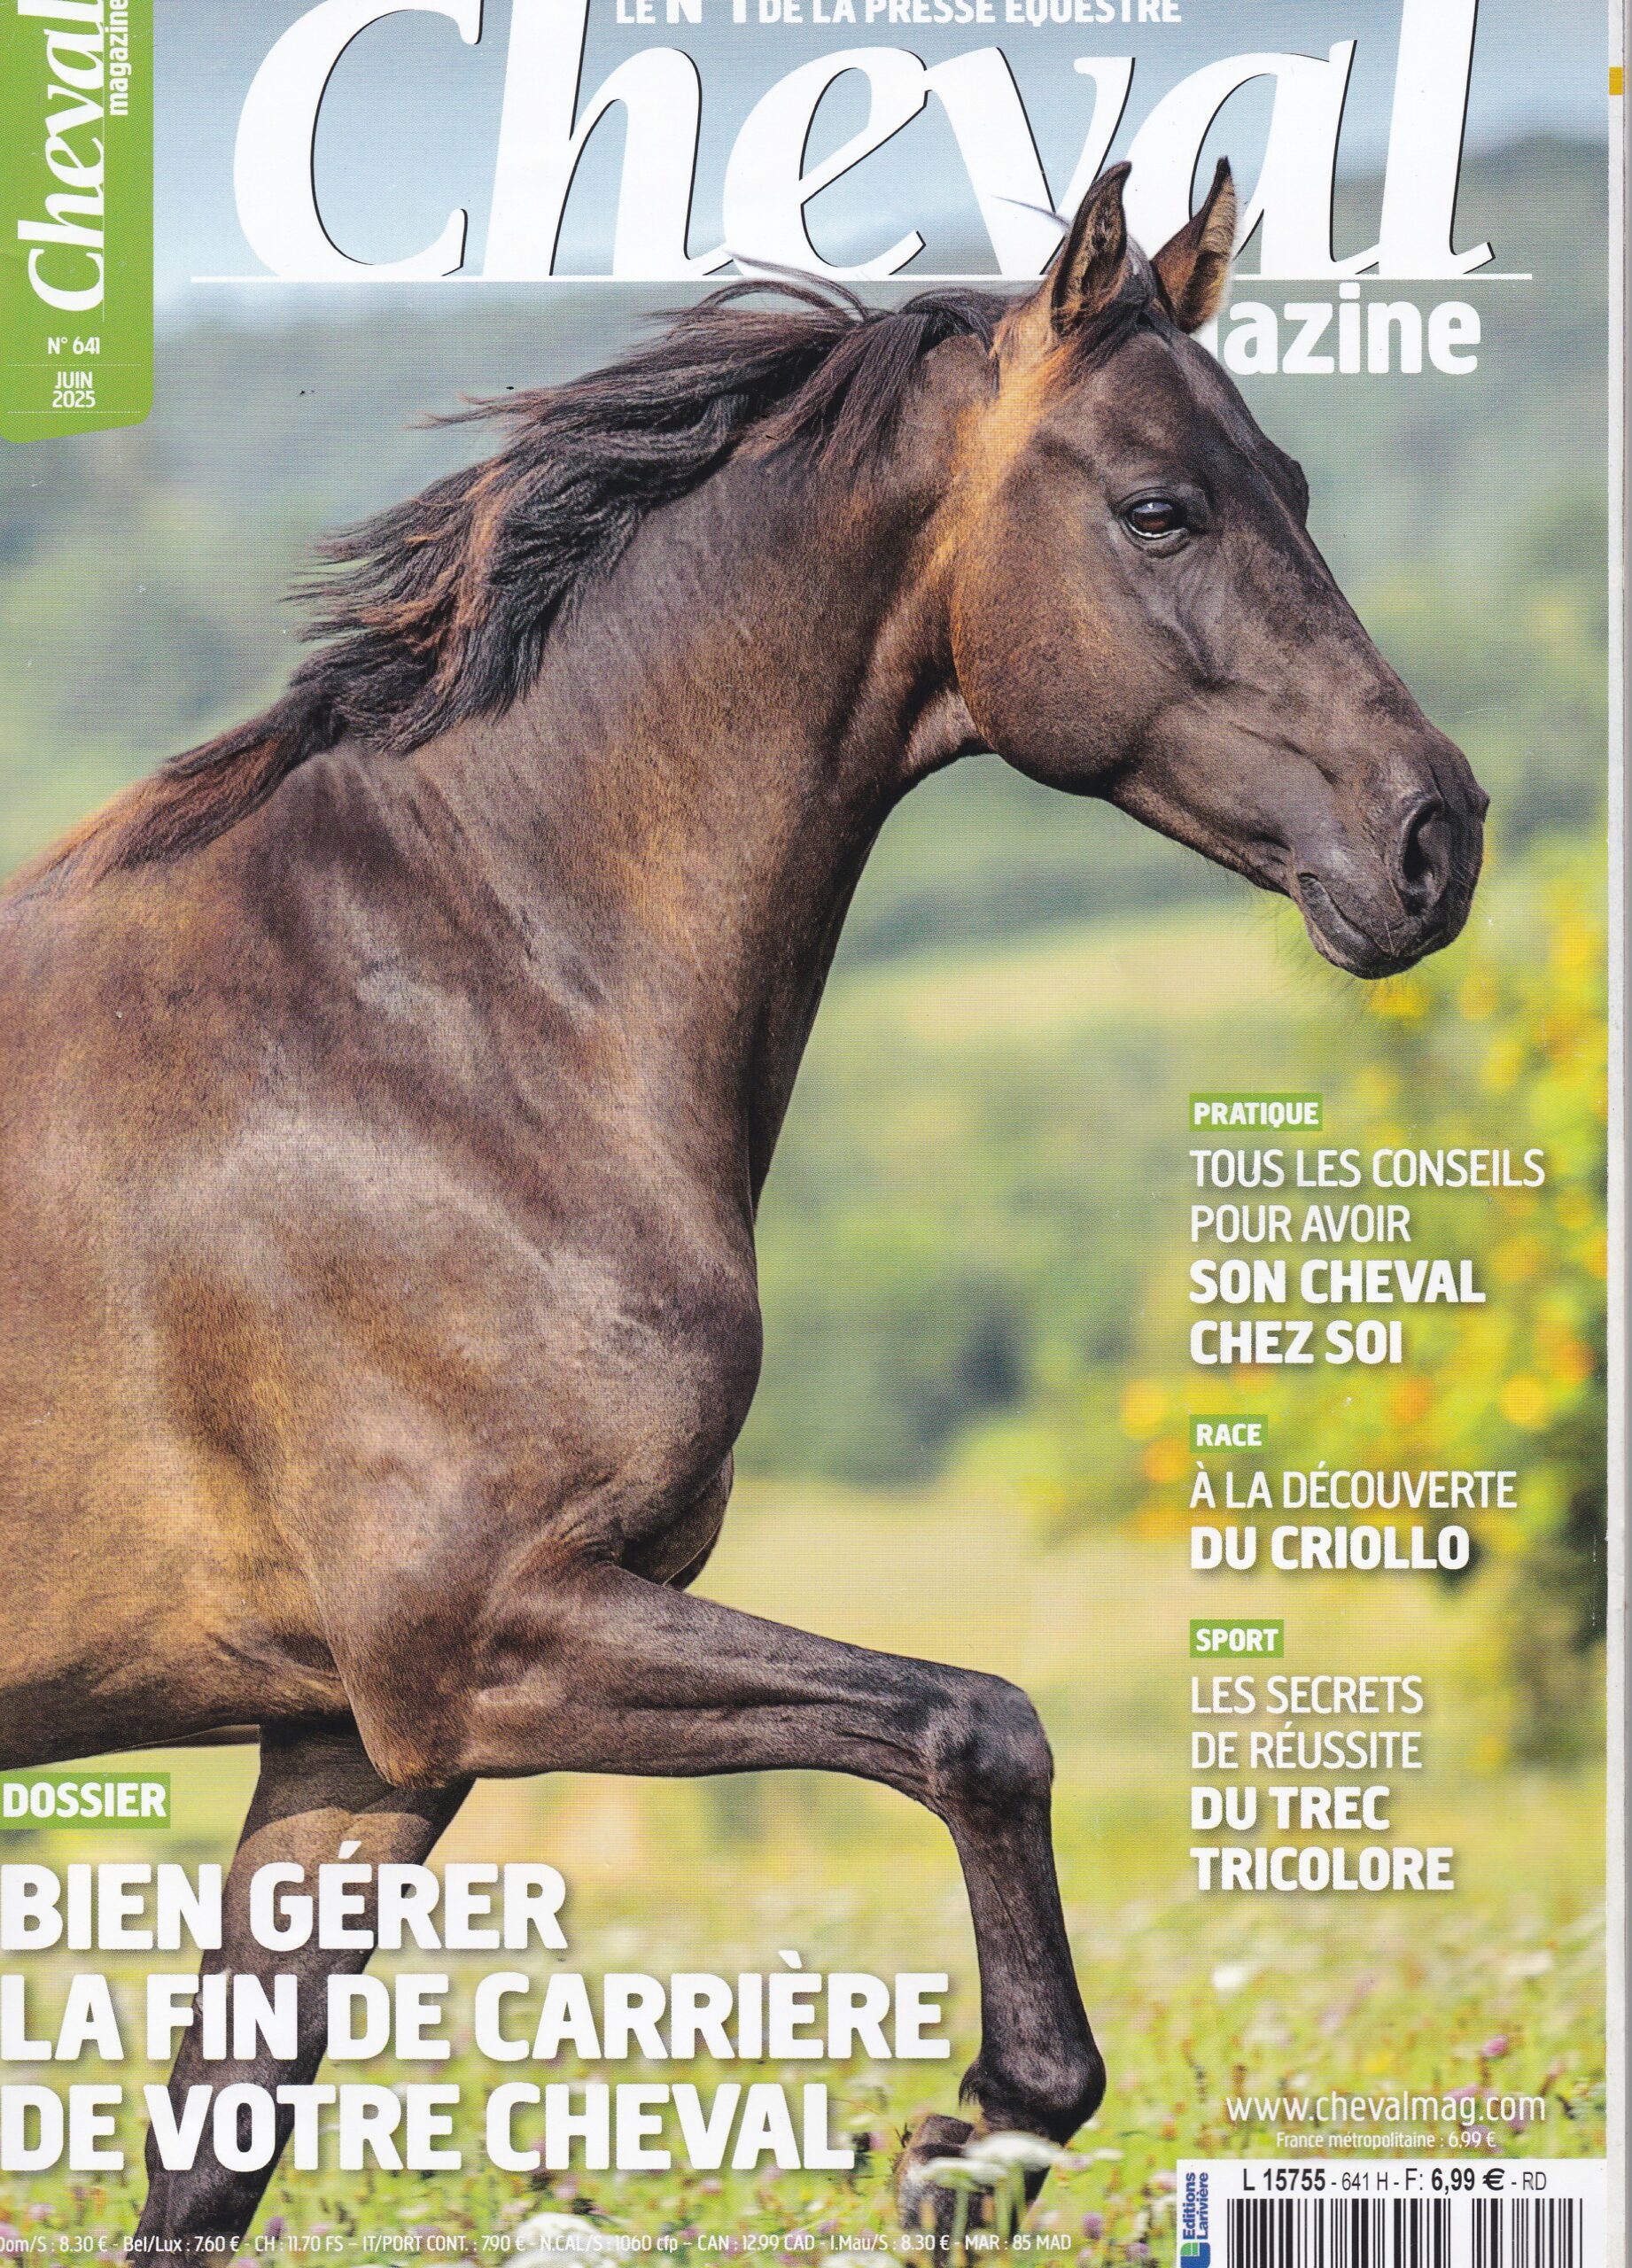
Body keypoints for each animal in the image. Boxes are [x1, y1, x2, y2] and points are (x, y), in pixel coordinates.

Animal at [0, 159, 1485, 2250]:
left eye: (1291, 478)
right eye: (1159, 508)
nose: (1436, 837)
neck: (436, 1019)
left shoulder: (357, 1736)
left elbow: (213, 2152)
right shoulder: (487, 1638)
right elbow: (979, 1724)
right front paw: (977, 2140)